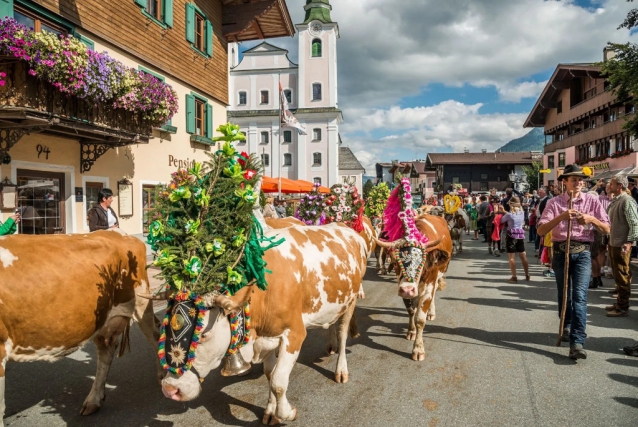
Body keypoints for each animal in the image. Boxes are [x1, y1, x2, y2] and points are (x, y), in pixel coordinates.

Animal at [0, 229, 160, 422]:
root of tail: (118, 232)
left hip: (142, 302)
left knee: (155, 336)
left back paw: (163, 376)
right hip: (101, 318)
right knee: (106, 351)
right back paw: (93, 400)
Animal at [161, 224, 370, 424]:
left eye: (203, 334)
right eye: (166, 330)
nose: (170, 389)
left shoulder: (294, 334)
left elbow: (278, 381)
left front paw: (288, 413)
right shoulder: (267, 336)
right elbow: (270, 374)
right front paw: (271, 412)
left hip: (351, 300)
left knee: (342, 333)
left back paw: (341, 369)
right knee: (332, 324)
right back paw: (331, 345)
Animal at [378, 217, 452, 362]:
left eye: (421, 262)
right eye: (396, 262)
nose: (408, 289)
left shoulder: (429, 288)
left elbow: (420, 320)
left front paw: (418, 349)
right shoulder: (403, 289)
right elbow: (411, 312)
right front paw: (411, 331)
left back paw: (431, 312)